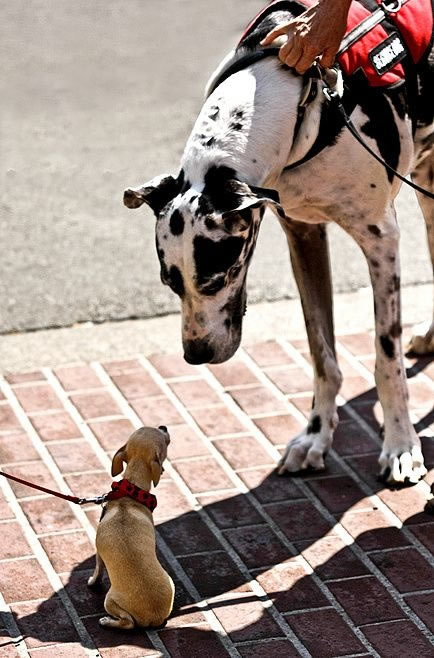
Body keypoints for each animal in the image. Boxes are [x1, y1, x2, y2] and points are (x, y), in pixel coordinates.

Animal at [88, 426, 174, 629]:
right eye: (160, 432)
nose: (164, 427)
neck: (131, 492)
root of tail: (154, 618)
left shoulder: (98, 553)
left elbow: (98, 570)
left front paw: (92, 582)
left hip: (109, 600)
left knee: (128, 623)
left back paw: (107, 621)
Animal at [123, 0, 433, 485]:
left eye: (218, 278)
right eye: (169, 284)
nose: (195, 354)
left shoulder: (380, 237)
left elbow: (386, 359)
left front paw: (401, 447)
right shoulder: (303, 235)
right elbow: (321, 353)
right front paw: (315, 437)